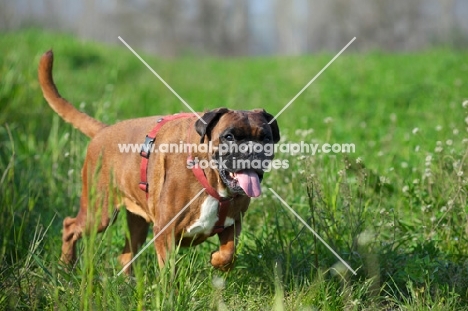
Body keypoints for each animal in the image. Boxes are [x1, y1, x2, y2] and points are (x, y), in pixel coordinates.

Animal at [38, 50, 280, 274]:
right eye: (229, 136)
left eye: (266, 138)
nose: (252, 150)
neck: (209, 177)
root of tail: (103, 130)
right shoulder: (165, 232)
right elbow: (168, 273)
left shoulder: (233, 225)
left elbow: (228, 253)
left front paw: (217, 260)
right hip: (99, 213)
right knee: (70, 227)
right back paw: (66, 265)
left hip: (136, 222)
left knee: (126, 255)